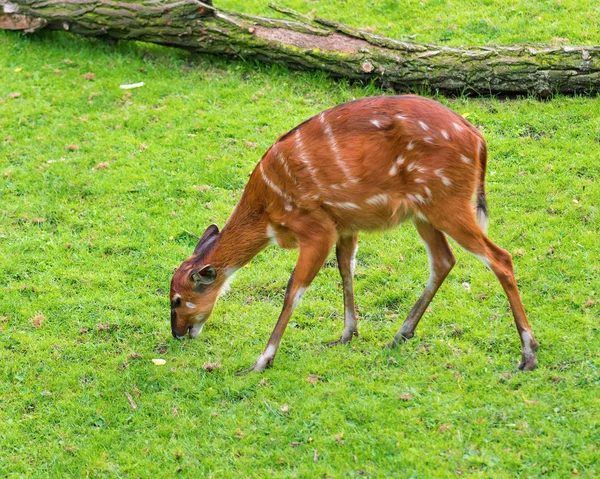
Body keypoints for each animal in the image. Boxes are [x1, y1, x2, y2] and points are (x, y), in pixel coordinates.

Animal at [169, 95, 540, 376]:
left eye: (177, 299)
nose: (177, 333)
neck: (268, 210)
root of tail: (479, 140)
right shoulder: (344, 225)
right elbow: (346, 269)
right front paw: (346, 335)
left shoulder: (316, 228)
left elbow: (294, 289)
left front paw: (261, 361)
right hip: (424, 211)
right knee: (443, 260)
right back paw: (401, 334)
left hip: (448, 204)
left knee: (500, 257)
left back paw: (528, 354)